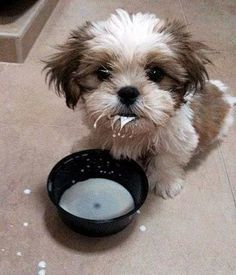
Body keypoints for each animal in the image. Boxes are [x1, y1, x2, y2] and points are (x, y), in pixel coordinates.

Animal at [44, 8, 236, 198]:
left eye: (156, 73)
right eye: (102, 72)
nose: (128, 92)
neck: (131, 130)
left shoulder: (180, 136)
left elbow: (167, 157)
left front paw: (165, 180)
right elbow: (99, 136)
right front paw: (89, 144)